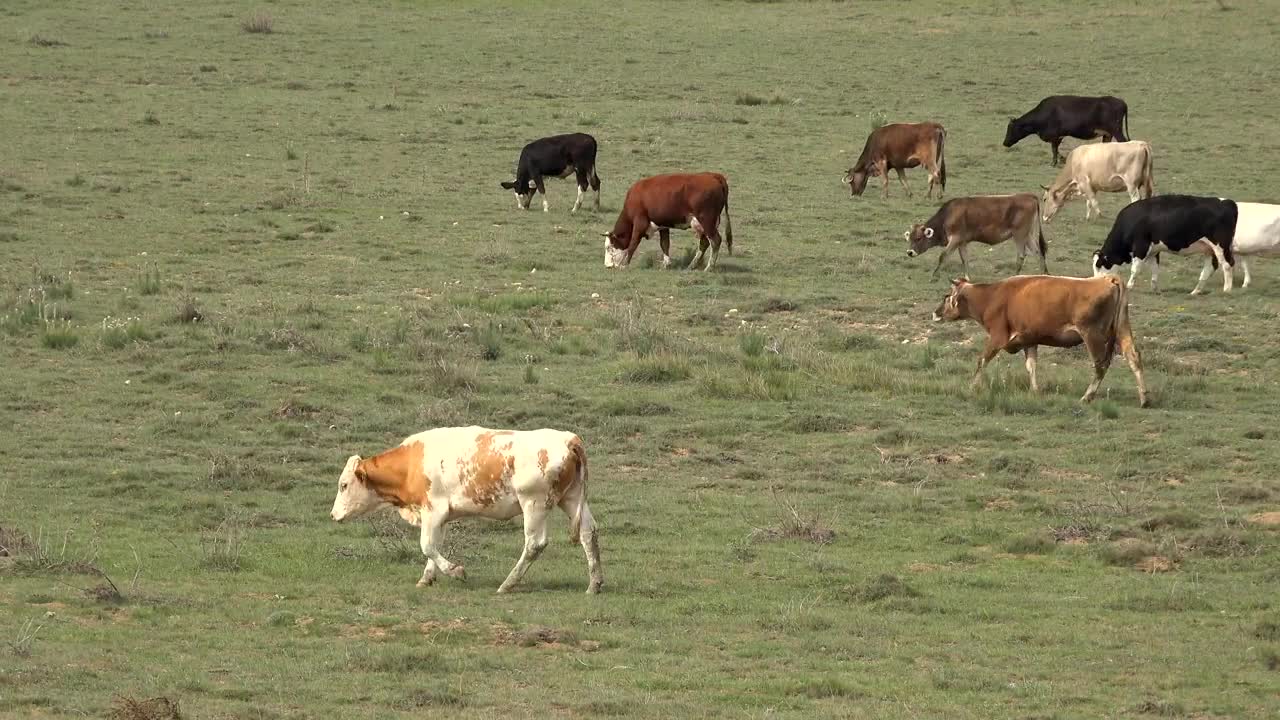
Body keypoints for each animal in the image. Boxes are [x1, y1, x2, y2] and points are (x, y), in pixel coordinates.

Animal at [329, 426, 603, 595]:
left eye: (344, 485)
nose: (333, 515)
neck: (411, 464)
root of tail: (569, 440)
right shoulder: (441, 516)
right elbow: (434, 546)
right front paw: (427, 578)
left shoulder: (433, 509)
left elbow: (427, 545)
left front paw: (456, 571)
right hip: (571, 499)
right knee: (588, 533)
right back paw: (594, 584)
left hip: (534, 503)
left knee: (535, 544)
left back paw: (507, 583)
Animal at [602, 172, 732, 271]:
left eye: (609, 247)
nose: (607, 265)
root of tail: (713, 175)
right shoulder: (663, 225)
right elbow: (664, 244)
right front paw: (666, 264)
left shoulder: (640, 223)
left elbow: (633, 244)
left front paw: (624, 265)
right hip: (704, 223)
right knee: (705, 242)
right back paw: (692, 265)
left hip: (706, 220)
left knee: (715, 240)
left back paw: (709, 267)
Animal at [906, 194, 1047, 280]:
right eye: (909, 238)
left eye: (918, 238)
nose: (909, 252)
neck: (947, 216)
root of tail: (1029, 196)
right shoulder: (962, 242)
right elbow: (964, 259)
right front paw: (967, 277)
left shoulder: (955, 239)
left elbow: (943, 256)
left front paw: (934, 275)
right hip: (1028, 235)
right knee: (1038, 252)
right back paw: (1044, 274)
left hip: (1019, 234)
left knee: (1022, 255)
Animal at [932, 275, 1149, 407]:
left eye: (946, 296)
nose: (935, 313)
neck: (991, 296)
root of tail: (1107, 278)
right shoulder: (1029, 340)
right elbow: (1031, 366)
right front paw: (1035, 390)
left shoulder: (997, 337)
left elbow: (982, 360)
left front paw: (972, 387)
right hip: (1122, 329)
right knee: (1133, 357)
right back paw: (1144, 398)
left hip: (1092, 334)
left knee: (1100, 365)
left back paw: (1087, 396)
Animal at [1091, 195, 1238, 296]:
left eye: (1098, 265)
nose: (1095, 284)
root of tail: (1228, 203)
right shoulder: (1154, 251)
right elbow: (1155, 269)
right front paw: (1155, 289)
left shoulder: (1141, 246)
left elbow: (1135, 269)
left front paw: (1129, 286)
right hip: (1209, 250)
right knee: (1209, 268)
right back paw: (1195, 291)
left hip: (1220, 246)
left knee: (1227, 264)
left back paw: (1227, 289)